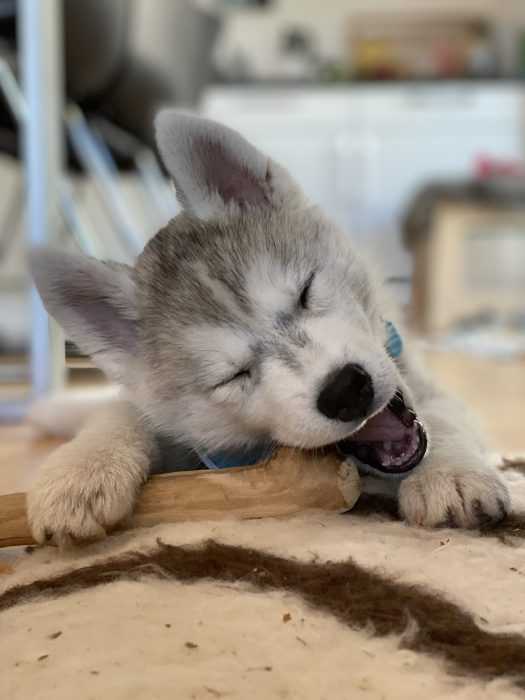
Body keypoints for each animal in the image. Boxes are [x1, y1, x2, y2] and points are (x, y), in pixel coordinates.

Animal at [28, 112, 508, 544]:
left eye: (306, 292)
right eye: (234, 376)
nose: (345, 390)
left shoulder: (426, 386)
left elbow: (444, 416)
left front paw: (451, 474)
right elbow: (122, 413)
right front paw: (79, 472)